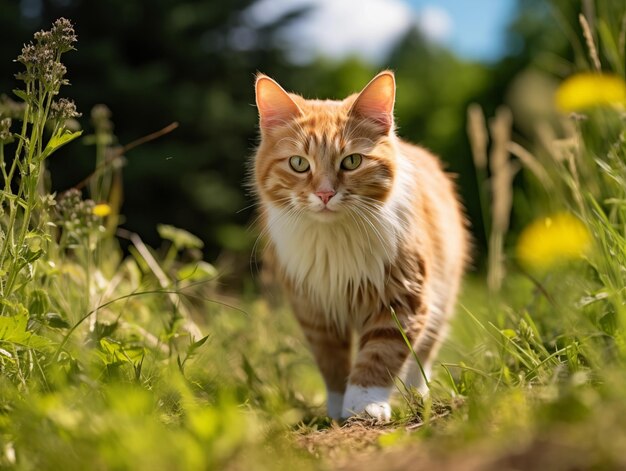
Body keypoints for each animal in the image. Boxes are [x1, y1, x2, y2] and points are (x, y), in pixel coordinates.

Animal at [251, 70, 466, 420]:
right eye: (299, 163)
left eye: (351, 161)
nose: (325, 194)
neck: (334, 241)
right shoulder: (316, 311)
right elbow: (333, 365)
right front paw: (338, 408)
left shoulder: (402, 299)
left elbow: (379, 356)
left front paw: (365, 405)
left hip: (441, 297)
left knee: (421, 357)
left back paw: (417, 396)